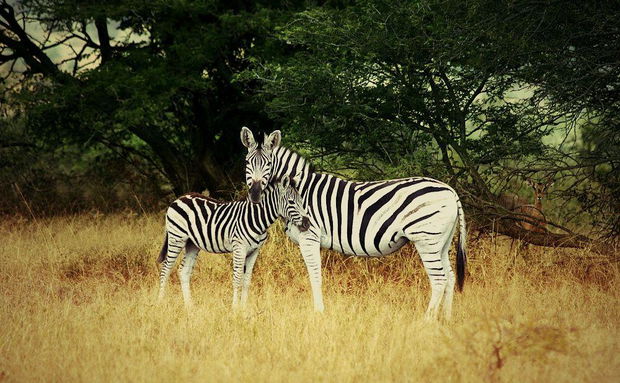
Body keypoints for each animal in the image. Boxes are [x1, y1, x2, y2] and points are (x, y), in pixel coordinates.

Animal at [156, 174, 308, 308]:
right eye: (291, 202)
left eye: (302, 200)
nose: (307, 224)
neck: (256, 218)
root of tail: (180, 198)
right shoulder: (239, 248)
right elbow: (237, 278)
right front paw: (235, 309)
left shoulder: (254, 251)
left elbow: (247, 280)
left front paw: (244, 308)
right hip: (176, 238)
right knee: (165, 269)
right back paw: (161, 302)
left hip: (192, 244)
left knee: (184, 271)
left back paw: (189, 307)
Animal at [240, 127, 468, 320]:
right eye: (247, 163)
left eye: (268, 164)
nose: (254, 194)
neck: (300, 191)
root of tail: (450, 190)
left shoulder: (309, 236)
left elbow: (315, 275)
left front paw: (318, 313)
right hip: (442, 242)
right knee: (450, 277)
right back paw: (446, 319)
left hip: (426, 239)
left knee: (439, 279)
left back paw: (427, 320)